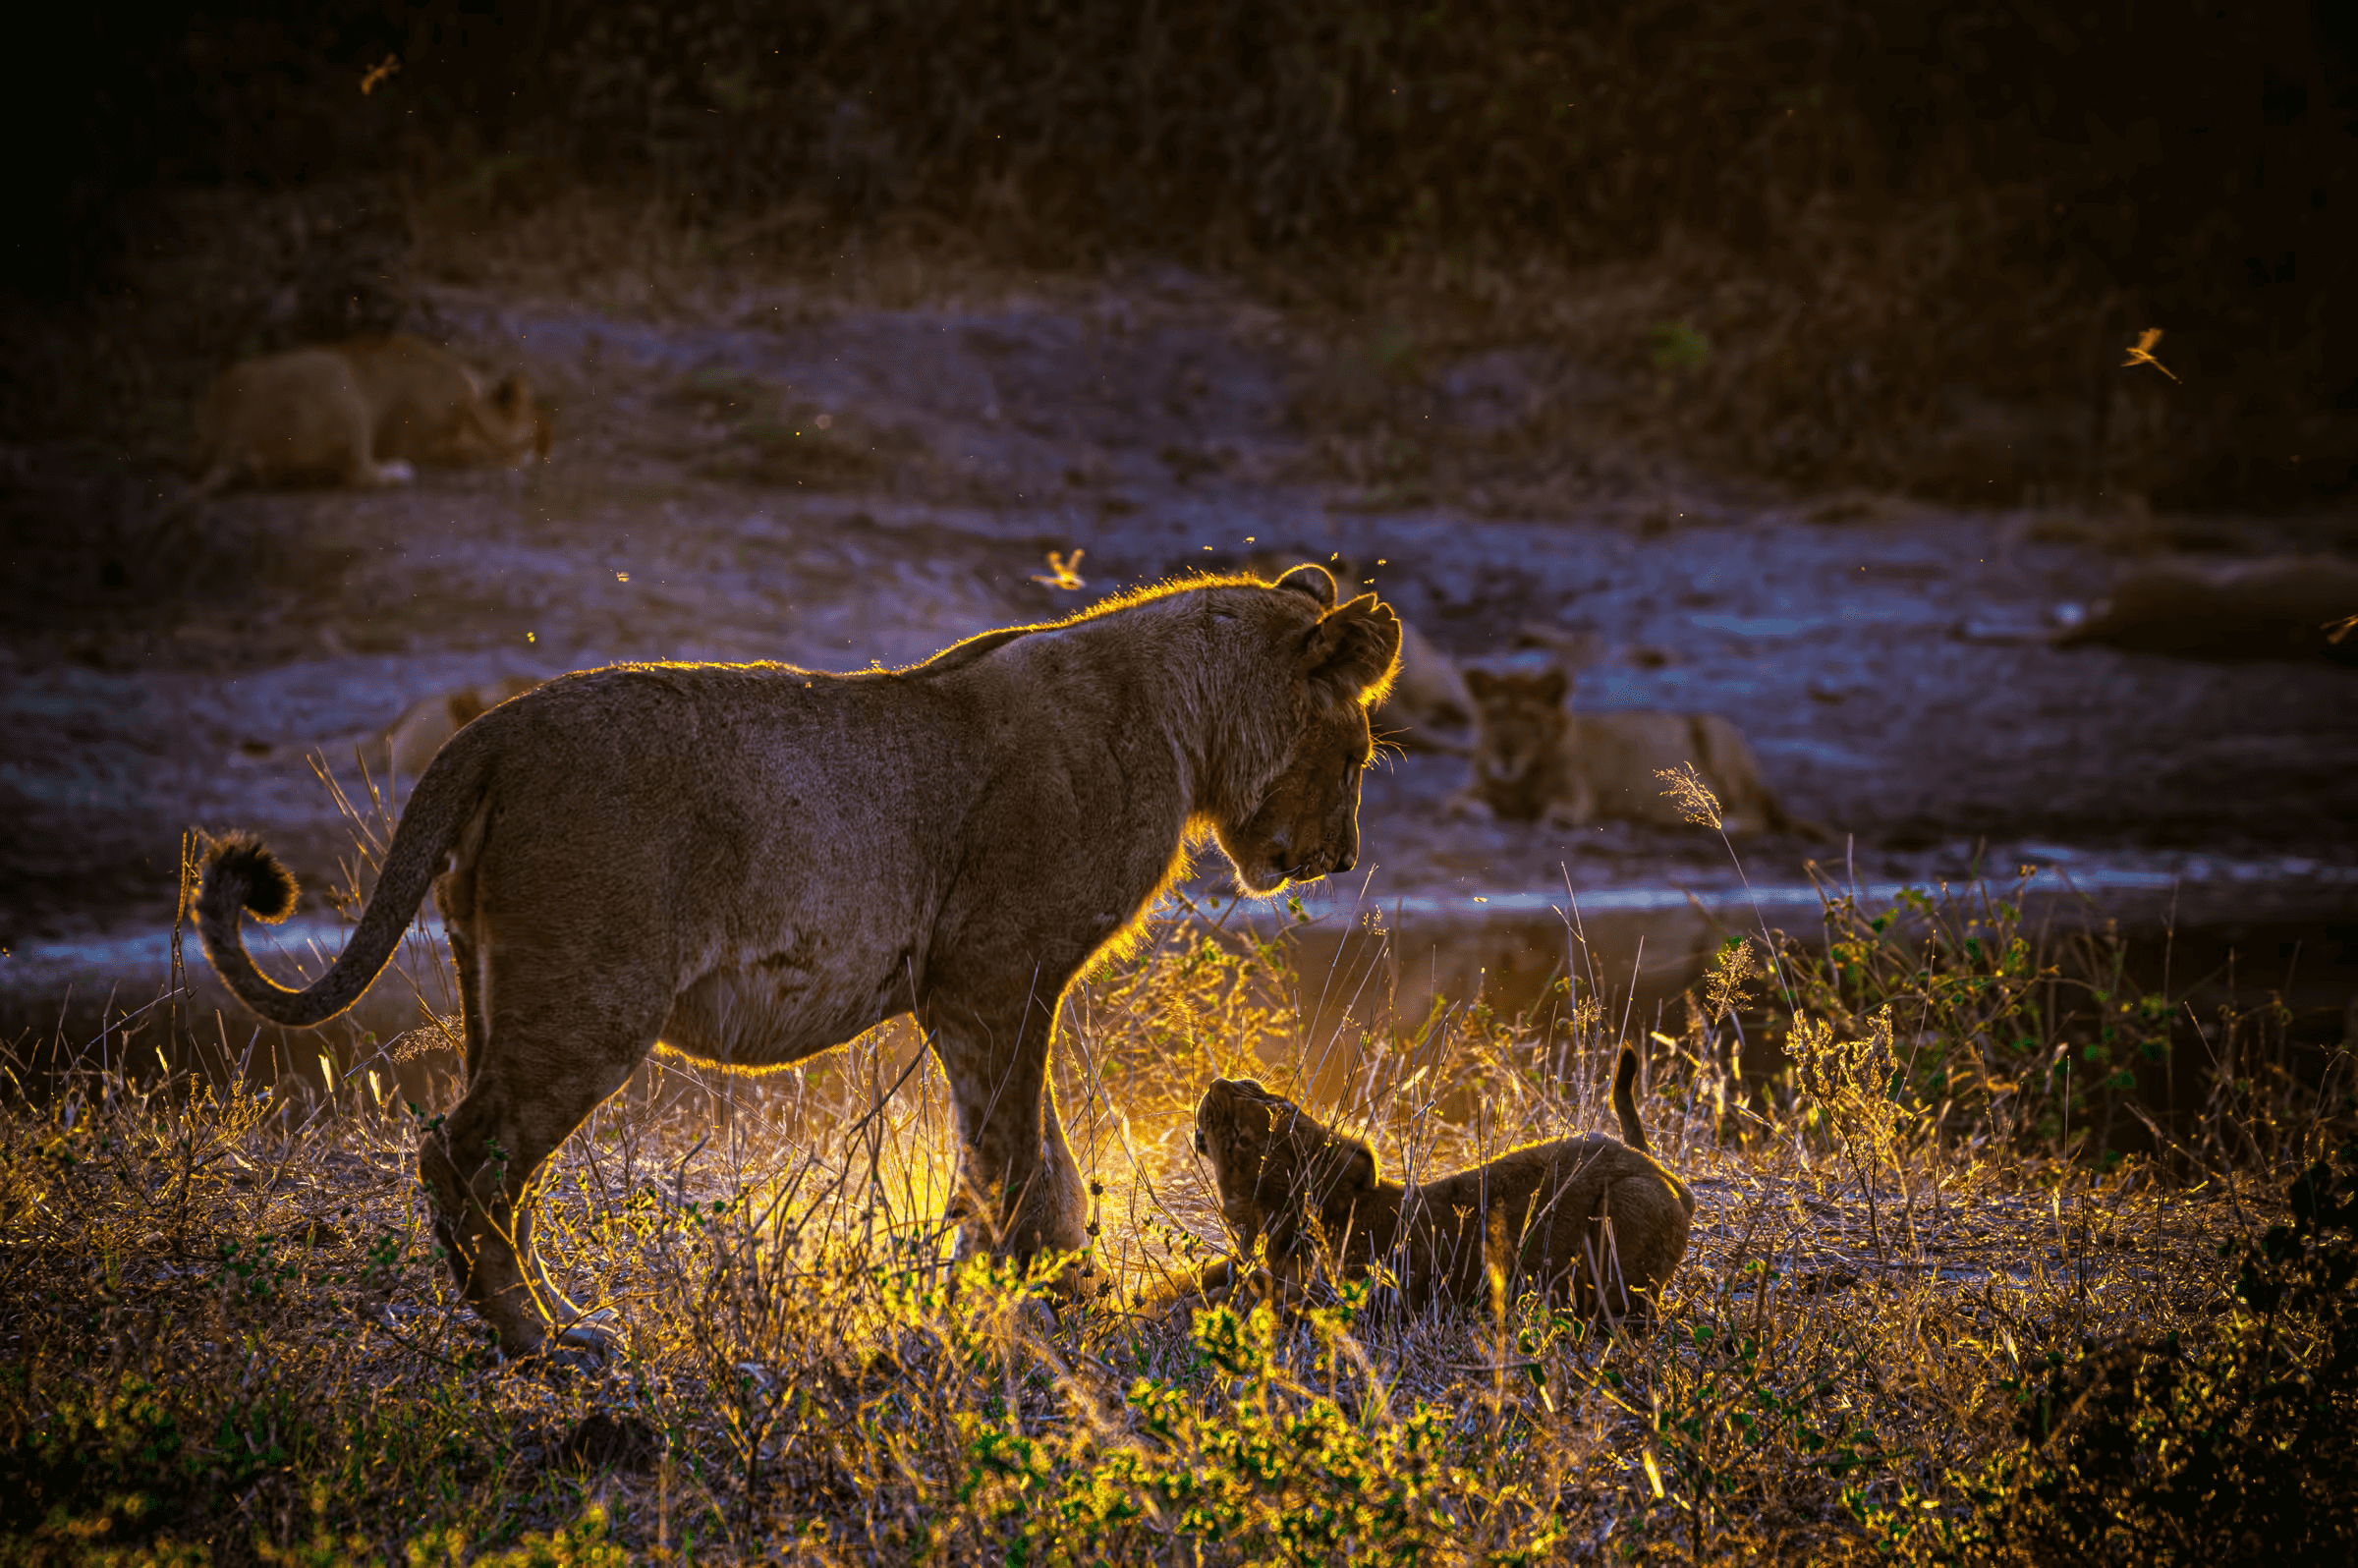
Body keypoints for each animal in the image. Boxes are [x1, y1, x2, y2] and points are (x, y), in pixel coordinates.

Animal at [184, 333, 550, 502]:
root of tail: (236, 432)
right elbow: (479, 453)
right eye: (541, 426)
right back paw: (397, 472)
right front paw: (520, 456)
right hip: (341, 381)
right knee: (357, 473)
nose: (550, 447)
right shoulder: (424, 442)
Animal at [192, 565, 1400, 1366]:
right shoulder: (990, 974)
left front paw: (1054, 1295)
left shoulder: (981, 991)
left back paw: (542, 1321)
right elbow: (1019, 1154)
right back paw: (543, 1342)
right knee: (466, 1159)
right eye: (1355, 753)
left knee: (490, 1173)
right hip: (588, 1000)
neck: (1182, 715)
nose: (1341, 857)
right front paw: (1042, 1306)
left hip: (494, 985)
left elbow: (1034, 1153)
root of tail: (492, 730)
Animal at [1445, 665, 1793, 834]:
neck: (1519, 779)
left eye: (1530, 718)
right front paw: (1481, 809)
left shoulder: (1580, 796)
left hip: (1715, 730)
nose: (1506, 753)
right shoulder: (1469, 789)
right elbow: (1457, 804)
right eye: (1496, 714)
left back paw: (1715, 820)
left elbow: (1558, 811)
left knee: (1754, 814)